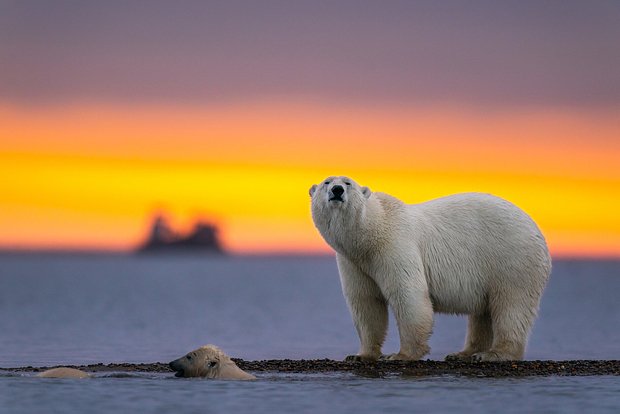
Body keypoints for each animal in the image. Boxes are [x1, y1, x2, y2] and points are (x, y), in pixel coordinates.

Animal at [310, 176, 552, 360]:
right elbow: (366, 303)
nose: (337, 190)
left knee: (511, 305)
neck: (370, 234)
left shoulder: (395, 246)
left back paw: (493, 354)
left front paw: (401, 355)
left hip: (512, 259)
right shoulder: (354, 262)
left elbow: (408, 295)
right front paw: (361, 355)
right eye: (326, 181)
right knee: (483, 313)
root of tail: (538, 232)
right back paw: (463, 353)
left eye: (348, 182)